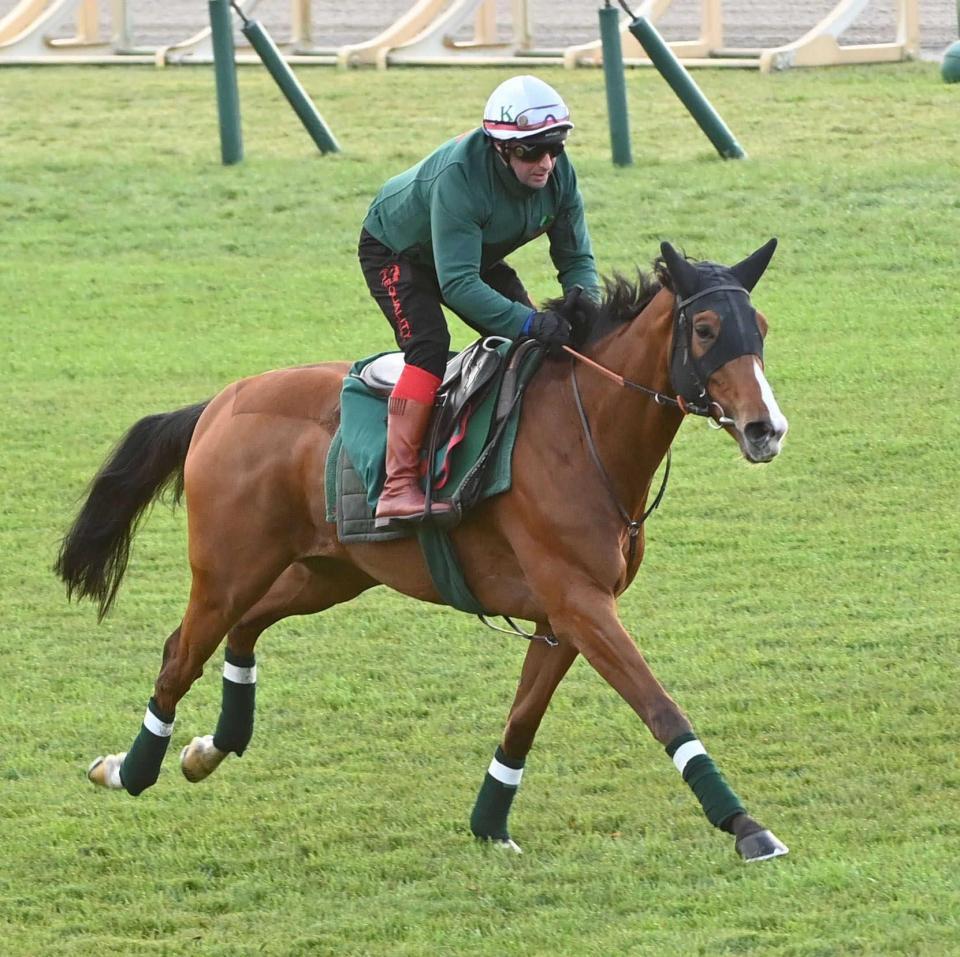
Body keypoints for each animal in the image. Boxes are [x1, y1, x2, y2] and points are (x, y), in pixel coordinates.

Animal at [56, 240, 790, 862]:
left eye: (760, 326)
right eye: (705, 330)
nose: (766, 428)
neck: (582, 433)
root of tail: (219, 402)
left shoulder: (565, 616)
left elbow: (523, 718)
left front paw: (489, 823)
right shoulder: (580, 603)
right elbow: (660, 706)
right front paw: (745, 826)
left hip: (329, 571)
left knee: (246, 627)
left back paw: (211, 747)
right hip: (228, 570)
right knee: (180, 653)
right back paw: (129, 770)